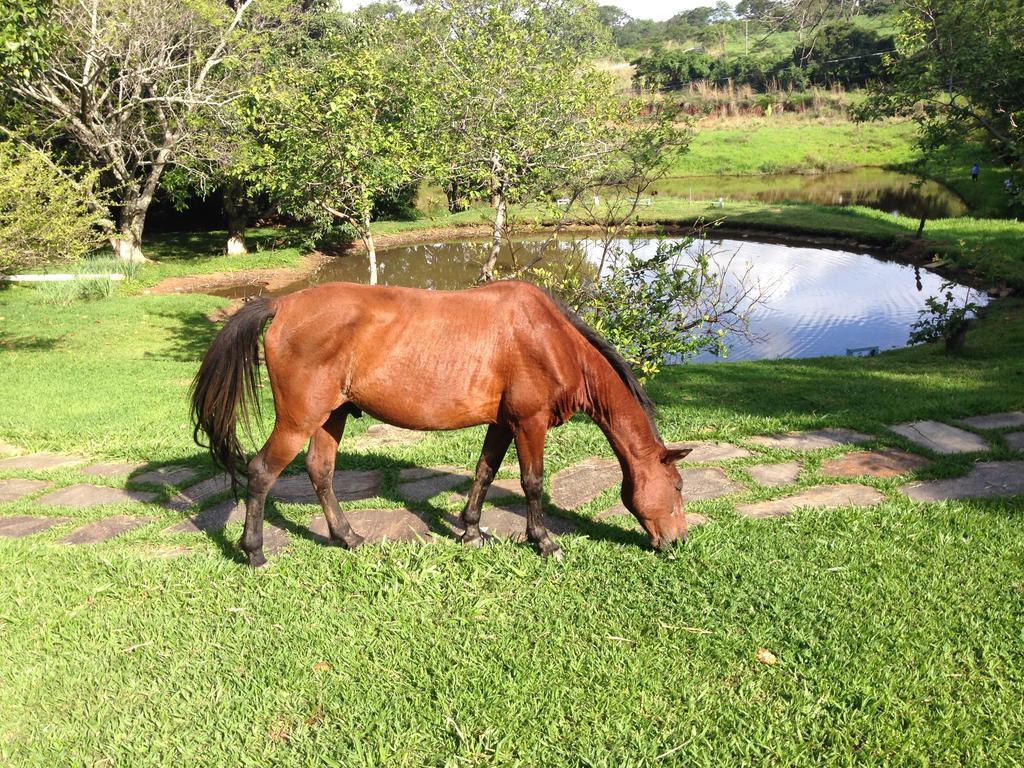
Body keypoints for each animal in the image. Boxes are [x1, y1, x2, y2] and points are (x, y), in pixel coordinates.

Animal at [192, 280, 692, 569]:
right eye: (679, 486)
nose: (677, 541)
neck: (549, 337)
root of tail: (284, 305)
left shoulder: (503, 423)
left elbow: (485, 472)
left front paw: (470, 530)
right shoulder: (529, 423)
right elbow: (532, 482)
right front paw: (544, 541)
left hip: (329, 417)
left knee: (321, 472)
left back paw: (348, 537)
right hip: (299, 420)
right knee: (261, 474)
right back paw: (255, 552)